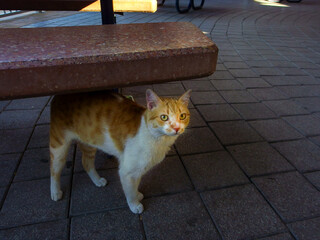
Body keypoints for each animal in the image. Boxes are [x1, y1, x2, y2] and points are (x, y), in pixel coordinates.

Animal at [48, 88, 191, 214]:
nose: (177, 128)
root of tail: (59, 96)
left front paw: (137, 194)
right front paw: (134, 205)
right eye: (164, 117)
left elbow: (135, 185)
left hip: (89, 143)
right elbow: (130, 191)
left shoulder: (137, 170)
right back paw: (55, 192)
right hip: (59, 147)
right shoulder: (127, 171)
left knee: (86, 163)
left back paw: (97, 180)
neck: (156, 138)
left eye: (182, 116)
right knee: (54, 170)